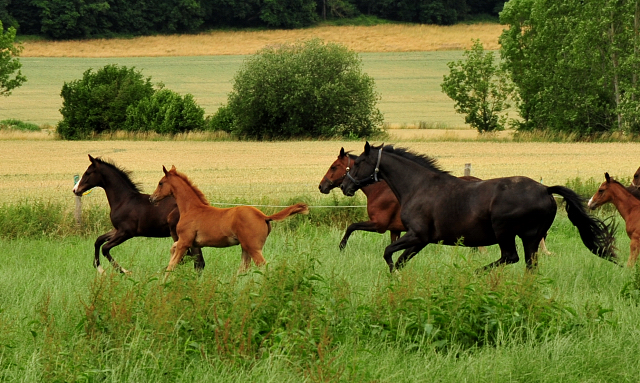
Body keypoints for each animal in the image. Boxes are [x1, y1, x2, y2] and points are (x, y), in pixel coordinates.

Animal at [72, 154, 204, 274]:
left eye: (88, 173)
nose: (75, 190)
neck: (124, 200)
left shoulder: (126, 232)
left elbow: (105, 248)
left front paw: (124, 271)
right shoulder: (117, 229)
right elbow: (98, 240)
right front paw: (99, 268)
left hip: (176, 232)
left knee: (188, 257)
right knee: (198, 260)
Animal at [150, 165, 310, 276]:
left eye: (160, 183)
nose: (152, 198)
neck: (191, 209)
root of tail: (263, 216)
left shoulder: (185, 241)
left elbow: (172, 265)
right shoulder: (186, 242)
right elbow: (172, 251)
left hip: (253, 248)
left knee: (262, 266)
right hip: (245, 247)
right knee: (244, 269)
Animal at [338, 143, 616, 272]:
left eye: (359, 162)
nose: (344, 185)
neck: (418, 186)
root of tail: (546, 190)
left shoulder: (418, 235)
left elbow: (388, 253)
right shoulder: (420, 240)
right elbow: (400, 260)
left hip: (505, 231)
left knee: (509, 257)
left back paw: (477, 273)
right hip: (532, 238)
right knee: (529, 265)